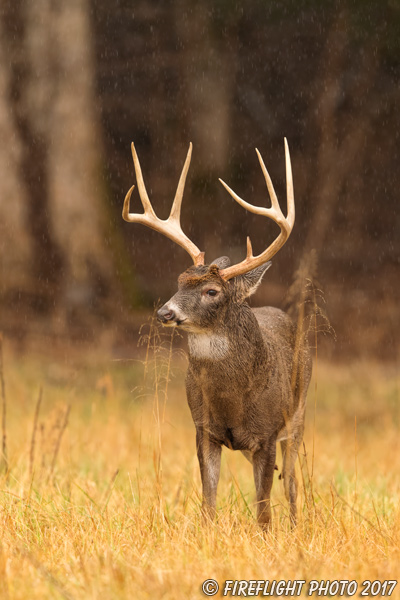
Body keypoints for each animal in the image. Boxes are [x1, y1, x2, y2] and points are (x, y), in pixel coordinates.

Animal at [122, 138, 312, 528]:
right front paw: (208, 533)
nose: (165, 312)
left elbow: (263, 506)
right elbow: (208, 499)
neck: (232, 399)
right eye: (179, 280)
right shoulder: (203, 428)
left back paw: (296, 527)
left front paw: (266, 535)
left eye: (212, 292)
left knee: (292, 482)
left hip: (299, 413)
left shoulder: (268, 432)